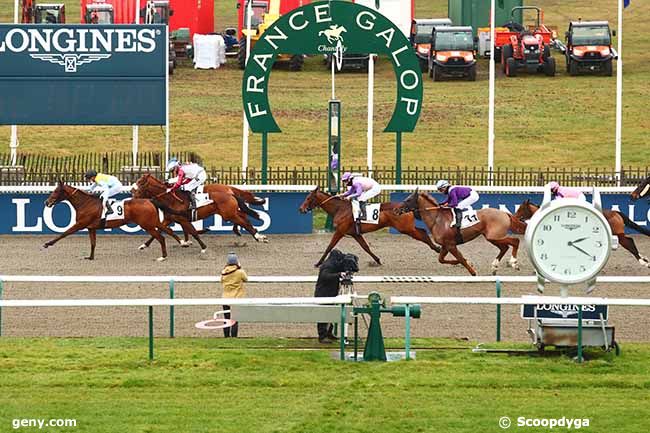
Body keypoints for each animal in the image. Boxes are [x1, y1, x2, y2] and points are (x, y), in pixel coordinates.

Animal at [42, 181, 177, 260]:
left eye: (56, 191)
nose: (46, 202)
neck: (85, 203)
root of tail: (150, 200)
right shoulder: (91, 228)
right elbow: (93, 243)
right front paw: (90, 257)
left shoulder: (80, 224)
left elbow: (64, 233)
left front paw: (48, 244)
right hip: (153, 222)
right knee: (168, 231)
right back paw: (180, 242)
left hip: (147, 225)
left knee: (161, 237)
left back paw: (163, 256)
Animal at [132, 173, 266, 250]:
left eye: (140, 183)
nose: (132, 197)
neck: (170, 198)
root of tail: (229, 191)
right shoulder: (169, 218)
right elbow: (159, 231)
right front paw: (144, 245)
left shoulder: (182, 219)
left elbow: (193, 231)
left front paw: (201, 246)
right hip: (230, 213)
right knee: (243, 217)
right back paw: (251, 233)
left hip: (229, 214)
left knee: (244, 222)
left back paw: (258, 237)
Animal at [298, 186, 440, 266]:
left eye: (308, 198)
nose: (301, 209)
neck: (340, 209)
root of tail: (406, 208)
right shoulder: (355, 234)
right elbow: (365, 247)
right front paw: (377, 260)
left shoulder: (340, 231)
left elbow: (329, 247)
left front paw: (318, 263)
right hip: (407, 228)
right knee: (422, 231)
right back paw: (437, 247)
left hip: (405, 228)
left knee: (422, 234)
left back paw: (437, 248)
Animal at [394, 191, 528, 276]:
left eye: (408, 200)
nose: (395, 210)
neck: (437, 219)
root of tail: (505, 213)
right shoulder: (445, 245)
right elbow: (442, 259)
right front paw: (467, 262)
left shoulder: (451, 245)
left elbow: (460, 259)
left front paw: (473, 271)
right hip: (492, 237)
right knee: (504, 247)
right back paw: (495, 267)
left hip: (494, 236)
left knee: (515, 241)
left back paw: (514, 263)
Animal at [512, 199, 648, 266]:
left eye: (520, 208)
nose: (514, 217)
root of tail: (615, 212)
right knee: (629, 241)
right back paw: (644, 259)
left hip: (618, 234)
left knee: (629, 242)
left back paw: (642, 261)